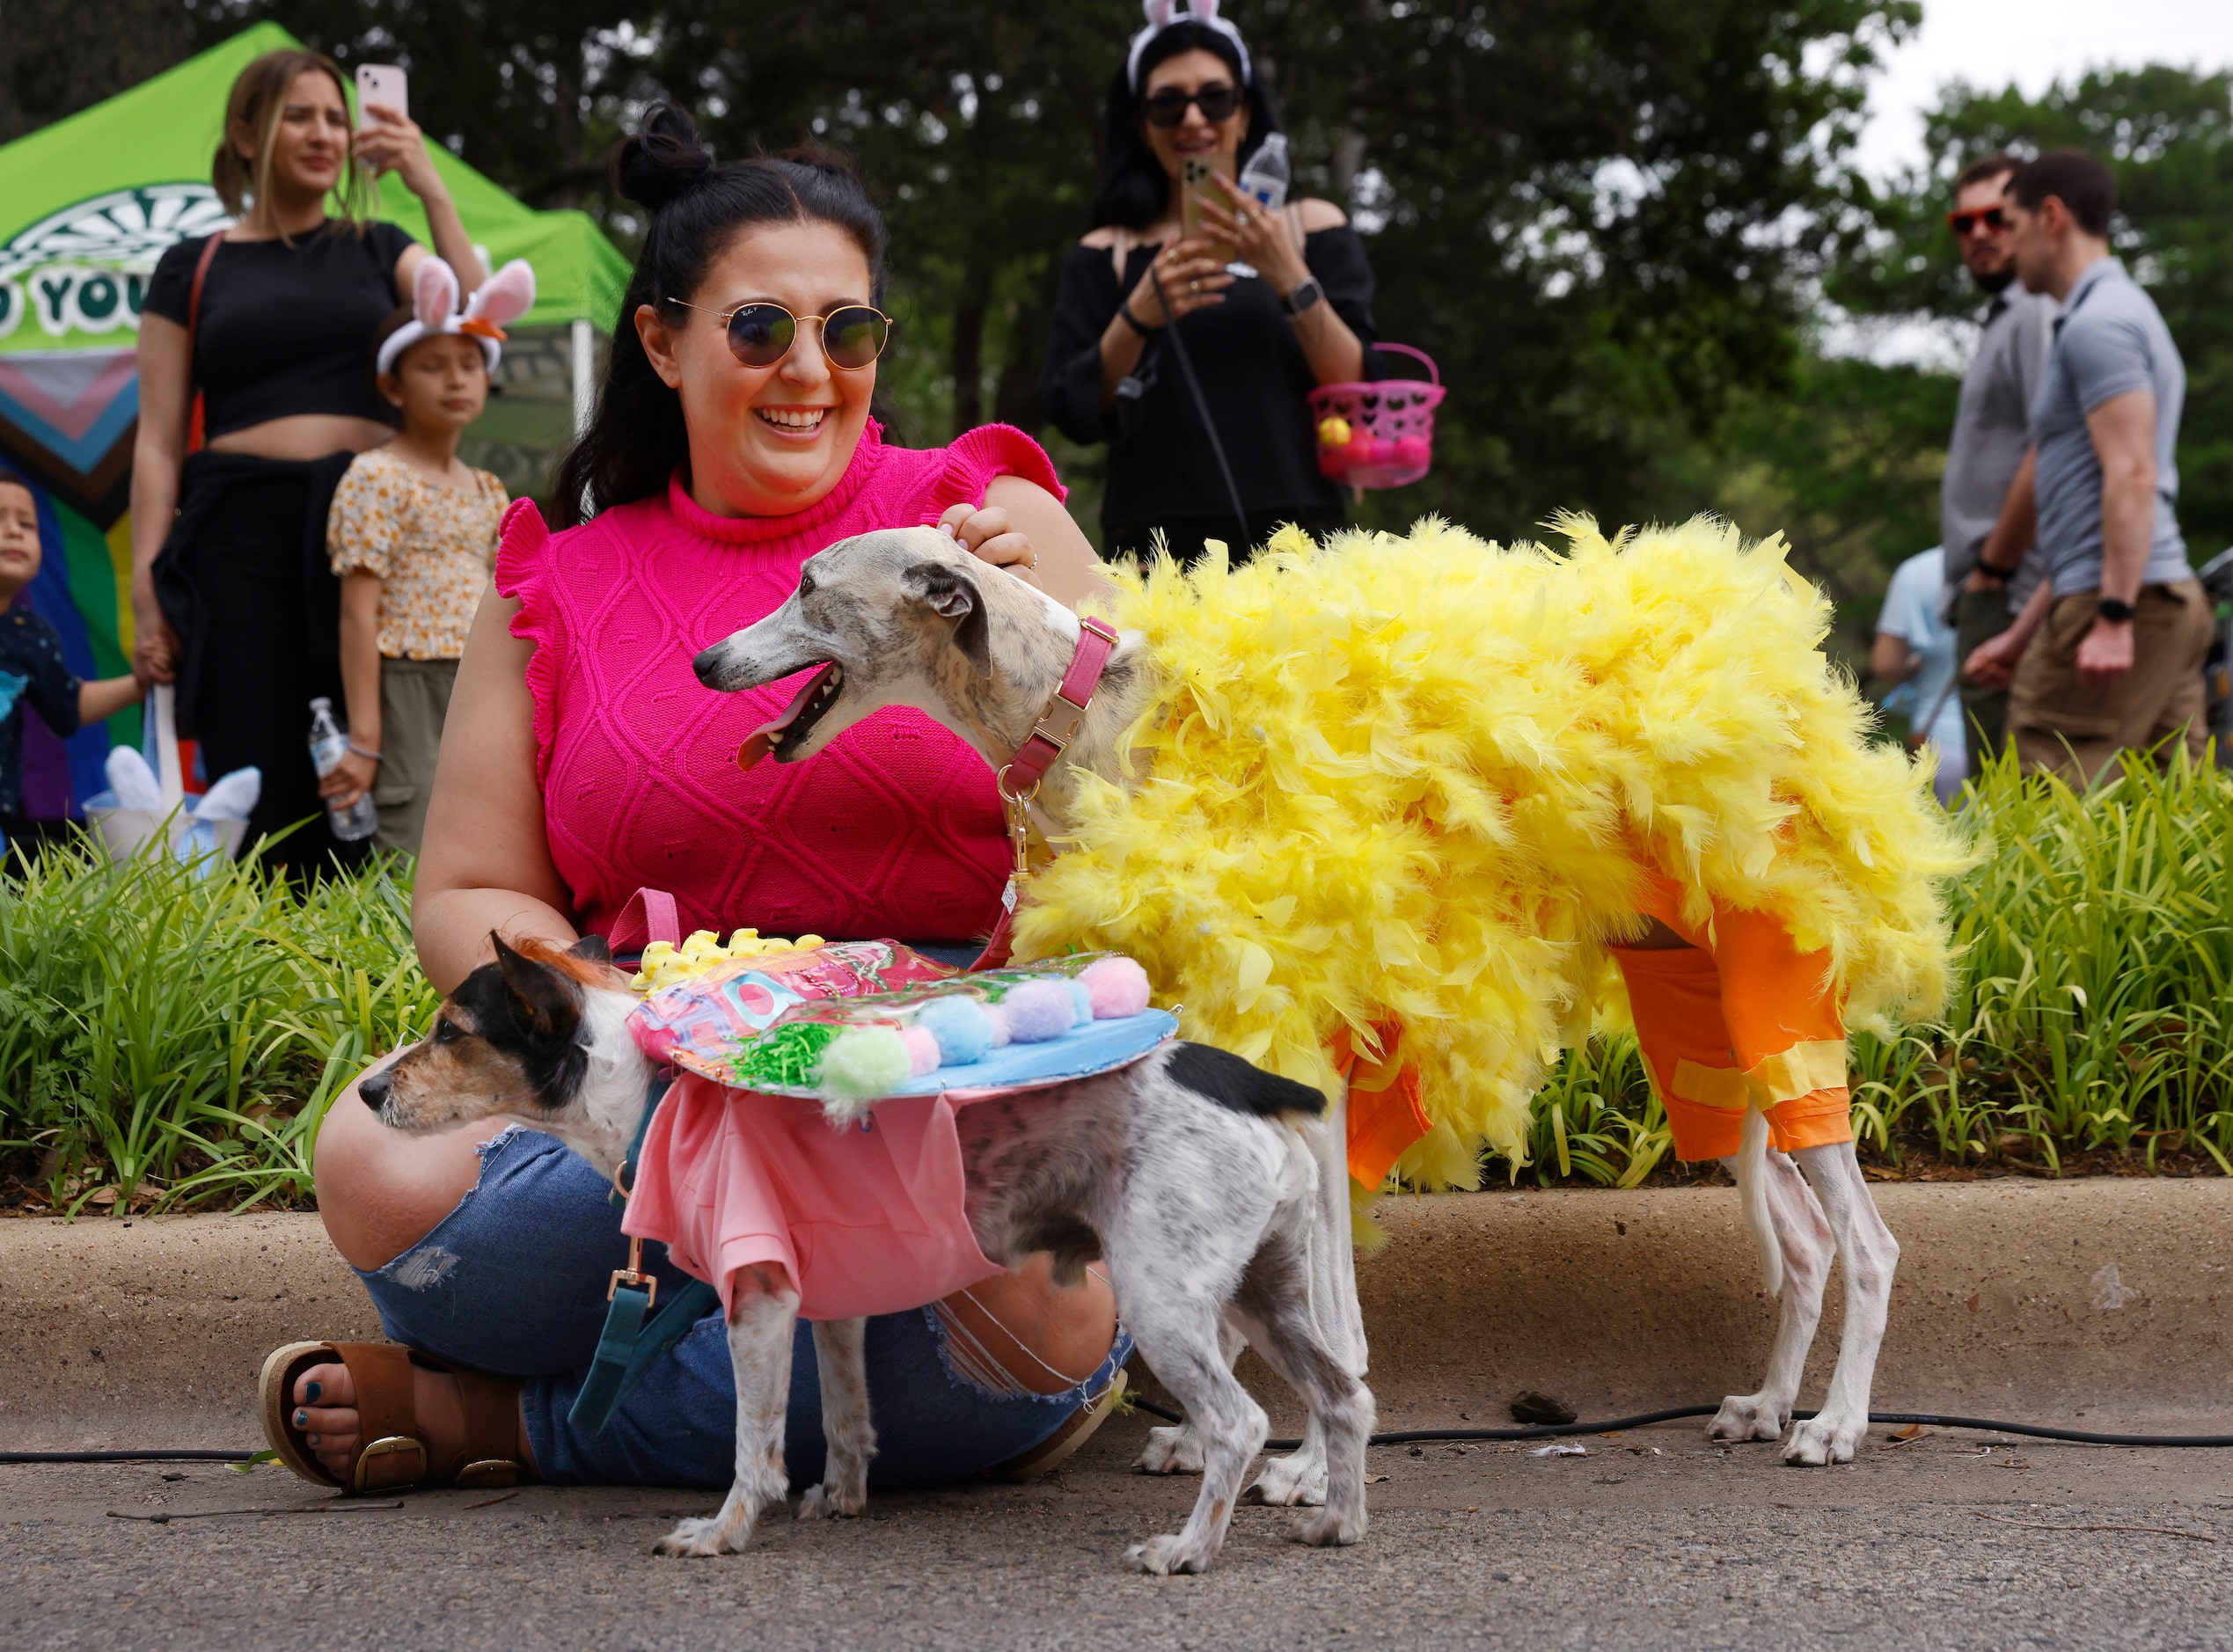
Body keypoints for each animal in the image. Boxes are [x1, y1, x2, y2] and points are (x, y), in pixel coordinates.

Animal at [363, 928, 1366, 1571]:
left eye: (451, 1033)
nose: (368, 1091)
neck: (645, 1088)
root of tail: (1245, 1076)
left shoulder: (756, 1298)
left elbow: (754, 1443)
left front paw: (725, 1533)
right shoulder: (827, 1301)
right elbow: (847, 1419)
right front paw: (841, 1499)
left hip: (1165, 1298)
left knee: (1240, 1423)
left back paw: (1191, 1549)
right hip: (1264, 1292)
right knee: (1345, 1396)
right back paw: (1334, 1524)